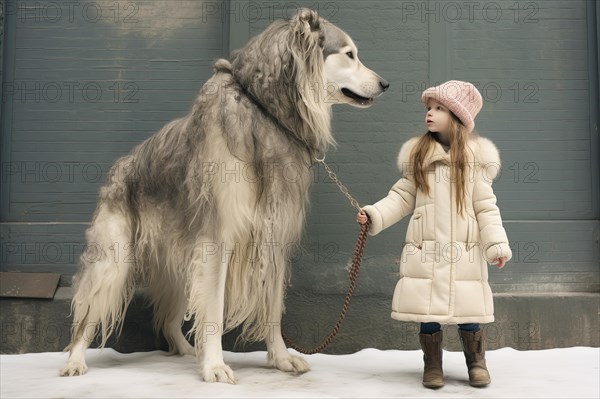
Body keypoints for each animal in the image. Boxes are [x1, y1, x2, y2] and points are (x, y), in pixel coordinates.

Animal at [59, 7, 390, 382]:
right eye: (349, 54)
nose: (385, 84)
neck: (265, 111)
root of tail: (121, 165)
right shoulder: (217, 237)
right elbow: (214, 310)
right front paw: (215, 366)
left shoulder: (273, 235)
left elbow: (272, 308)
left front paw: (280, 358)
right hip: (113, 262)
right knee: (86, 315)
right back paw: (75, 360)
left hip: (178, 264)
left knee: (169, 320)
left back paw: (188, 351)